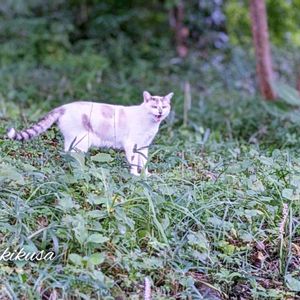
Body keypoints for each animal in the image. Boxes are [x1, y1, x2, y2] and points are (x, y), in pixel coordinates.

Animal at [7, 91, 173, 176]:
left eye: (164, 107)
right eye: (154, 106)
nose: (160, 112)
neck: (150, 124)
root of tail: (63, 107)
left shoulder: (144, 146)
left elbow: (143, 161)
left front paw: (146, 174)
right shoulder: (131, 144)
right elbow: (133, 161)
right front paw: (135, 175)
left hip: (73, 139)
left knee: (66, 153)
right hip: (81, 141)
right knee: (73, 156)